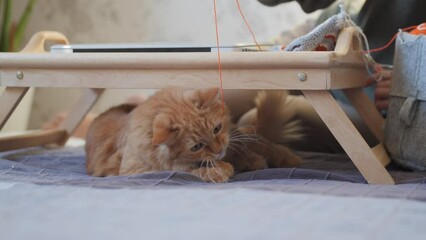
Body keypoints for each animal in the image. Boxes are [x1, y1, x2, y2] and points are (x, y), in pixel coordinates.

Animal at [85, 87, 300, 182]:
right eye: (196, 147)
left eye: (216, 129)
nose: (218, 149)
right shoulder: (134, 170)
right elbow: (184, 170)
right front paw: (220, 170)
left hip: (238, 136)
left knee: (264, 144)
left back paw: (288, 159)